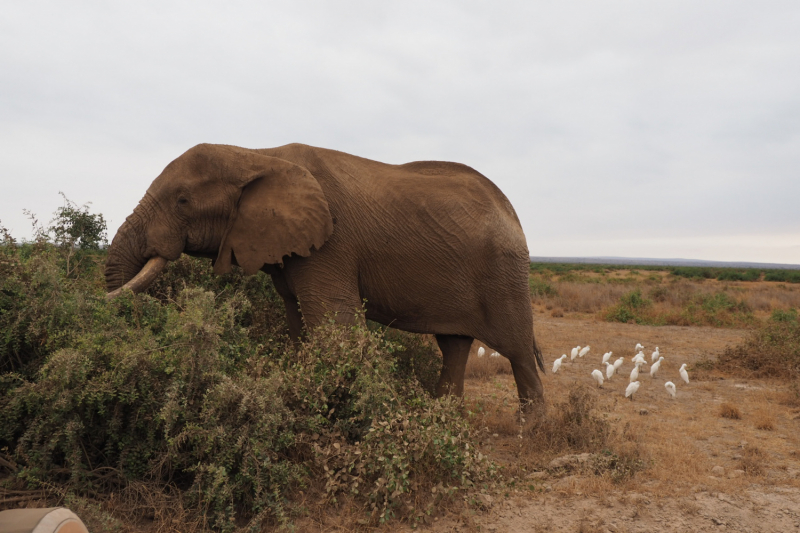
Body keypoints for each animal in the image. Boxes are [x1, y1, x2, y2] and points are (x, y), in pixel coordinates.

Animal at [104, 141, 544, 408]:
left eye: (182, 201)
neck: (257, 154)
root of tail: (512, 211)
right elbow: (299, 321)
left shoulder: (331, 244)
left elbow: (335, 323)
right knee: (454, 345)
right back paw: (444, 417)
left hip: (505, 272)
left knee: (519, 350)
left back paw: (530, 431)